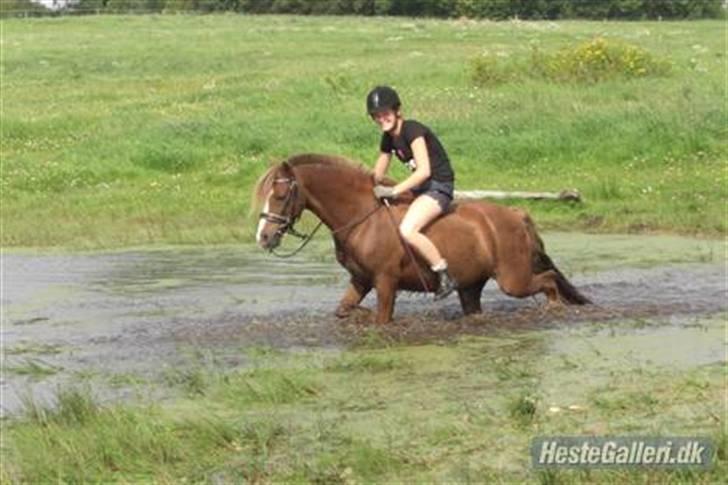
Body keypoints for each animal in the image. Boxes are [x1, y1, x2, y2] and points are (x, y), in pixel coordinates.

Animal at [253, 153, 591, 324]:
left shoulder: (385, 282)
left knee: (548, 281)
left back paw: (555, 310)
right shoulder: (360, 280)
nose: (264, 237)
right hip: (471, 286)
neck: (362, 217)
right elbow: (344, 309)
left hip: (513, 279)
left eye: (280, 195)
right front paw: (358, 314)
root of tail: (516, 214)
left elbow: (382, 318)